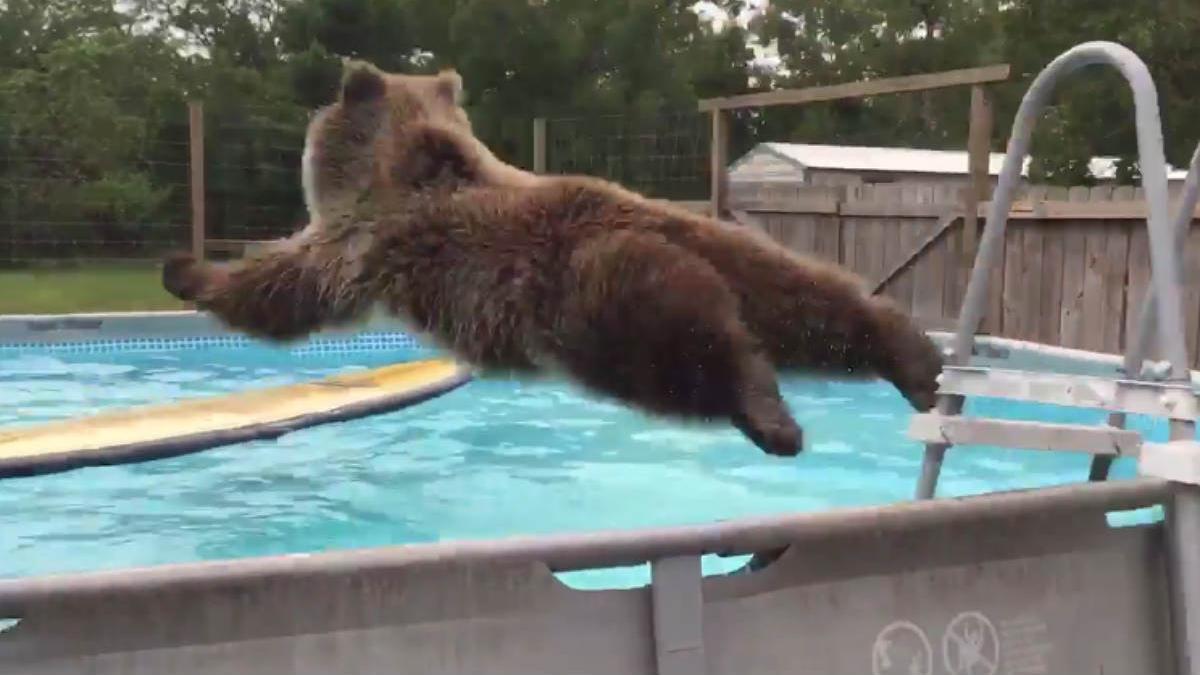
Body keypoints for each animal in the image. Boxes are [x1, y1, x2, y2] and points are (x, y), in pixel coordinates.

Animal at [162, 61, 945, 456]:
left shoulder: (363, 240)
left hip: (596, 302)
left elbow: (285, 287)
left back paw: (771, 420)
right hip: (742, 254)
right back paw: (916, 361)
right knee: (819, 307)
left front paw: (188, 270)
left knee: (693, 354)